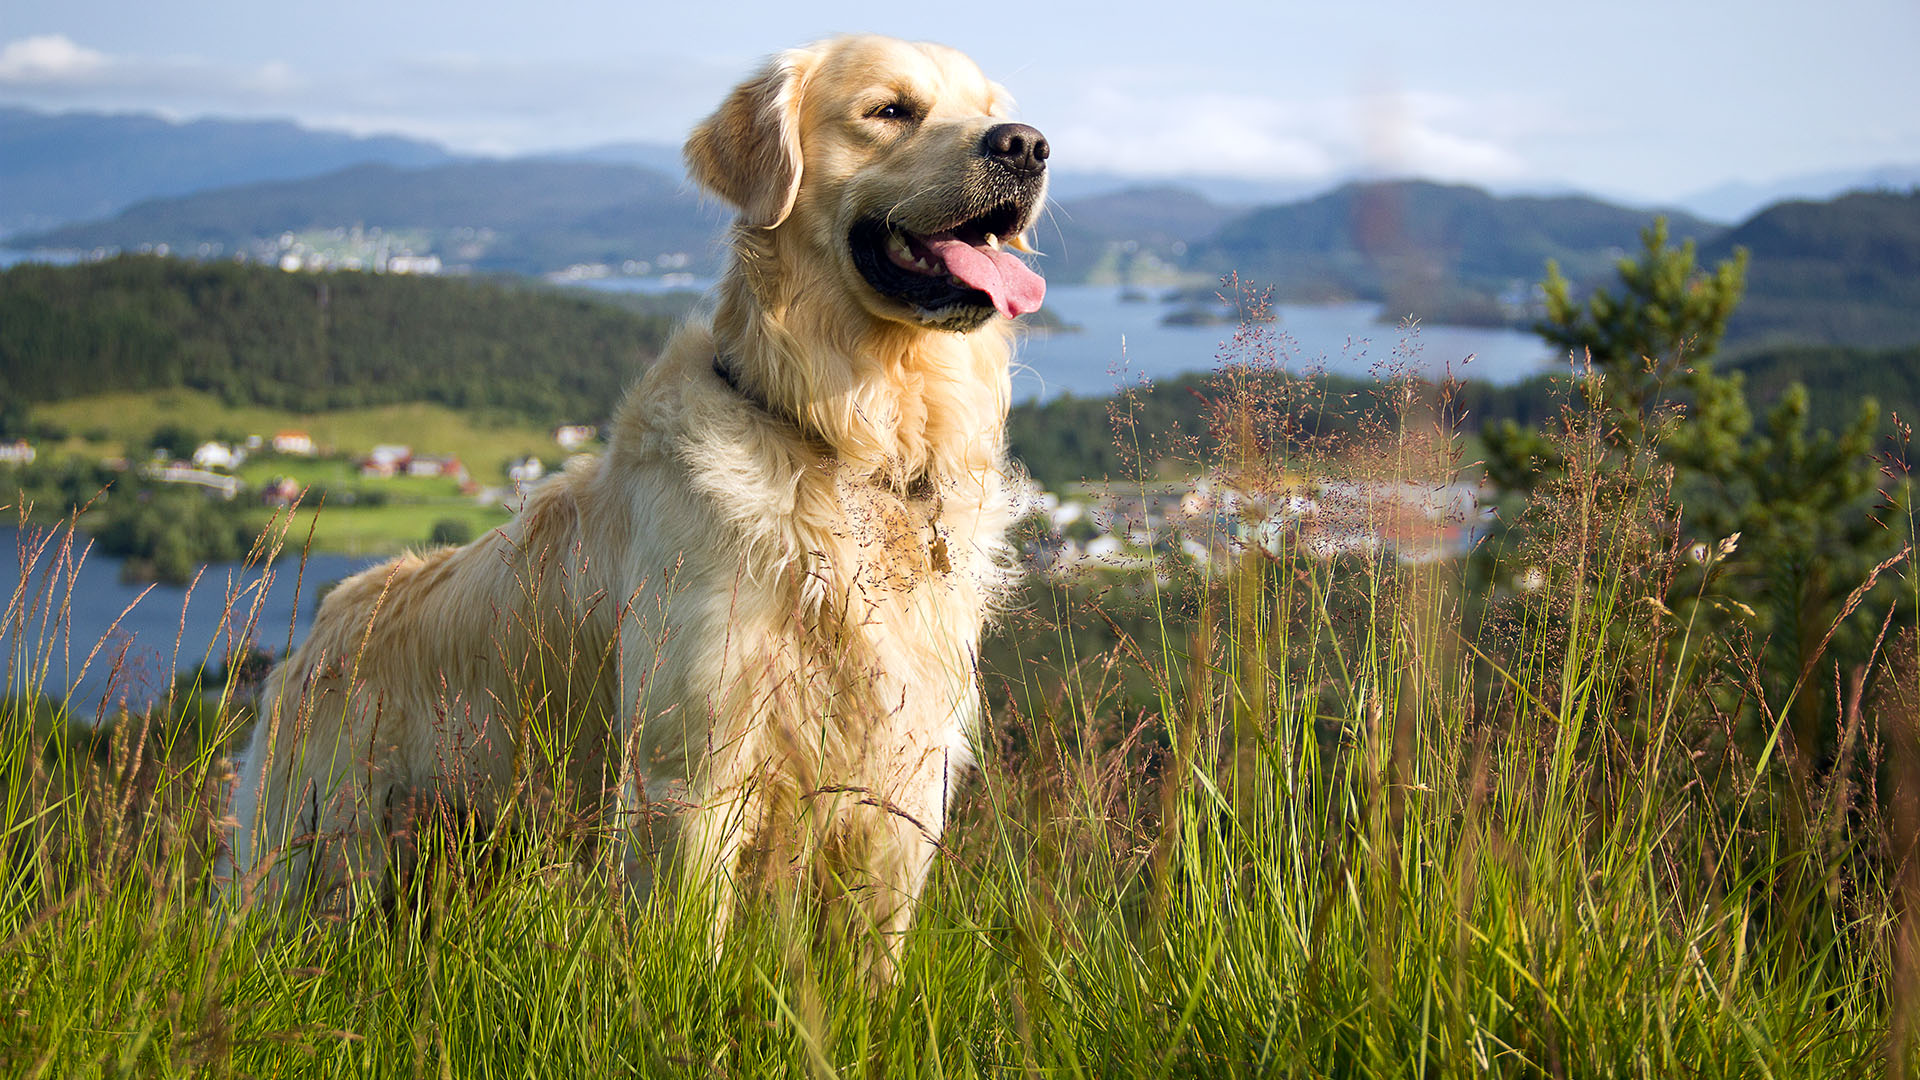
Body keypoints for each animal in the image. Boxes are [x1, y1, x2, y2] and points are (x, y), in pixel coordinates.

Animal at [232, 31, 1059, 957]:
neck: (841, 443)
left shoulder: (903, 781)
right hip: (322, 867)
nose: (1026, 145)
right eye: (890, 110)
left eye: (989, 110)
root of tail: (313, 637)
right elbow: (690, 950)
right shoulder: (689, 772)